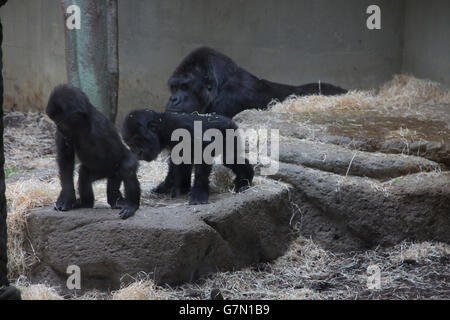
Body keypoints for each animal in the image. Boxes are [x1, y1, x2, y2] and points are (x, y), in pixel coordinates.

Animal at [46, 84, 140, 220]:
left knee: (126, 167)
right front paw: (66, 197)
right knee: (84, 174)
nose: (58, 128)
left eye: (61, 122)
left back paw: (131, 204)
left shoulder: (101, 129)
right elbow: (65, 161)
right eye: (56, 122)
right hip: (98, 173)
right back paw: (86, 203)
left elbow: (117, 159)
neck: (84, 124)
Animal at [121, 110, 255, 205]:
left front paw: (199, 193)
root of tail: (230, 120)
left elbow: (202, 151)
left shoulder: (180, 127)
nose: (136, 152)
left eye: (138, 141)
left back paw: (245, 180)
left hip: (230, 131)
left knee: (229, 158)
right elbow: (176, 162)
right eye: (130, 144)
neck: (162, 128)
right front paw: (166, 187)